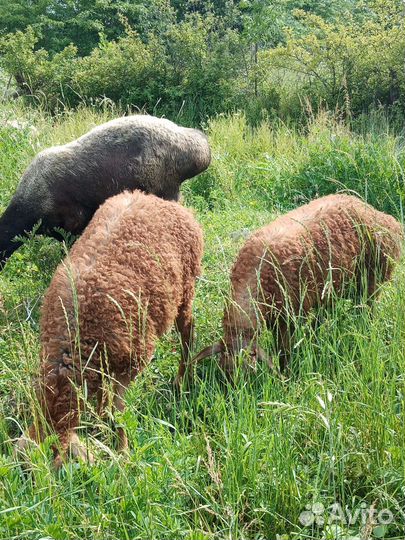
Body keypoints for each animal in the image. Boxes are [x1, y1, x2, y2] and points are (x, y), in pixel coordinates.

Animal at [19, 190, 202, 468]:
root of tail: (150, 197)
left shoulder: (129, 364)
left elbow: (119, 413)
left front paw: (123, 451)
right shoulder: (102, 362)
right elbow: (105, 400)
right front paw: (100, 420)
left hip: (186, 289)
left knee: (187, 333)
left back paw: (183, 379)